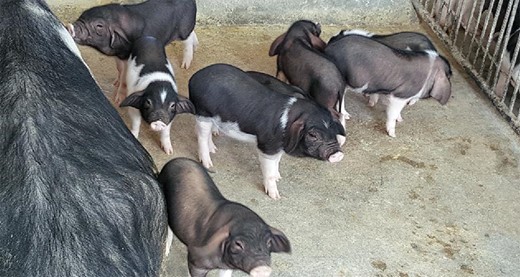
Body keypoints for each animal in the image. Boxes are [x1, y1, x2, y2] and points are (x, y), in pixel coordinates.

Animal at [158, 157, 290, 276]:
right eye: (238, 244)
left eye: (269, 242)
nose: (263, 268)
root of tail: (175, 159)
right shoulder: (195, 262)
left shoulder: (227, 267)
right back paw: (166, 253)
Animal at [188, 63, 346, 198]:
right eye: (313, 135)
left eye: (333, 129)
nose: (338, 154)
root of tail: (195, 77)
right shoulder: (267, 145)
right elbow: (269, 170)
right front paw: (275, 196)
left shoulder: (279, 146)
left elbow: (277, 161)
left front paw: (279, 177)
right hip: (203, 112)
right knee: (201, 136)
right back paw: (208, 163)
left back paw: (214, 149)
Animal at [322, 34, 452, 137]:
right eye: (449, 75)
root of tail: (328, 49)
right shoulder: (400, 95)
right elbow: (392, 113)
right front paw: (393, 134)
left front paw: (401, 119)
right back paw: (347, 116)